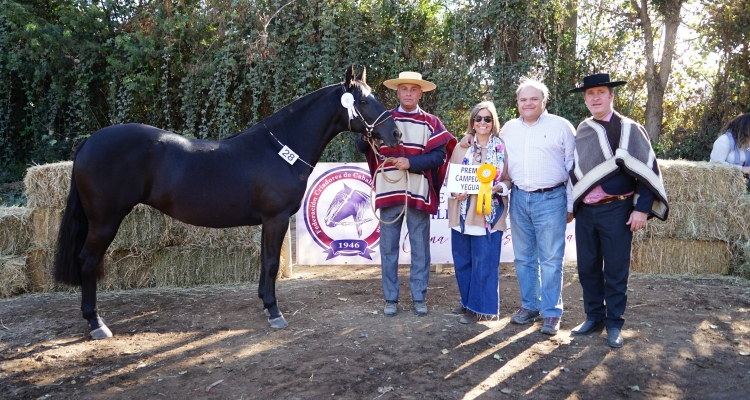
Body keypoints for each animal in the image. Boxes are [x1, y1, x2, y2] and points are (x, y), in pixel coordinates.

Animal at [53, 65, 402, 338]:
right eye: (364, 101)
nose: (396, 134)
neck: (279, 151)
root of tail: (89, 142)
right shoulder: (276, 219)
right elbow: (271, 263)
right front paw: (275, 313)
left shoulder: (268, 222)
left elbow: (264, 262)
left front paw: (265, 304)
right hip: (105, 221)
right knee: (87, 261)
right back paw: (96, 323)